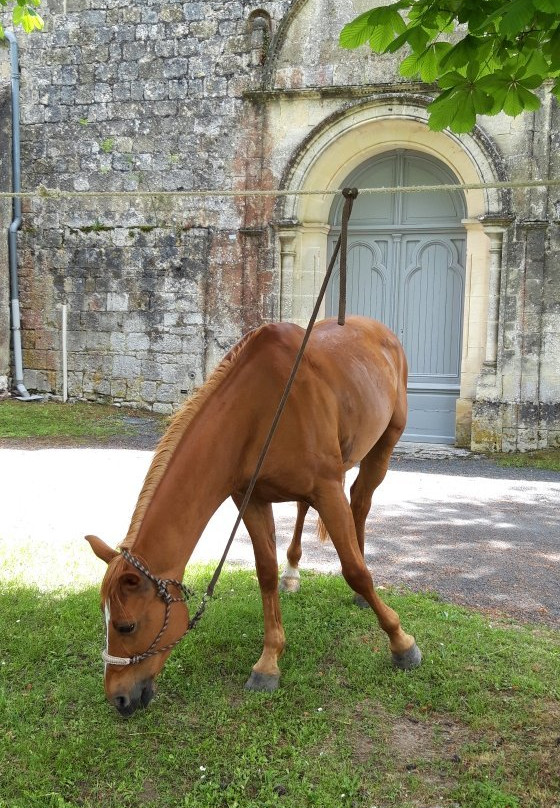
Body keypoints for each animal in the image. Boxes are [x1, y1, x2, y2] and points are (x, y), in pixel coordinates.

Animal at [86, 318, 420, 716]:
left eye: (126, 626)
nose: (117, 698)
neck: (259, 412)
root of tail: (379, 331)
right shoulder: (253, 500)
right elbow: (266, 574)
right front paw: (269, 661)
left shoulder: (327, 489)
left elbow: (354, 571)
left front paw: (401, 642)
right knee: (307, 509)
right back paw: (294, 571)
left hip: (383, 445)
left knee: (361, 501)